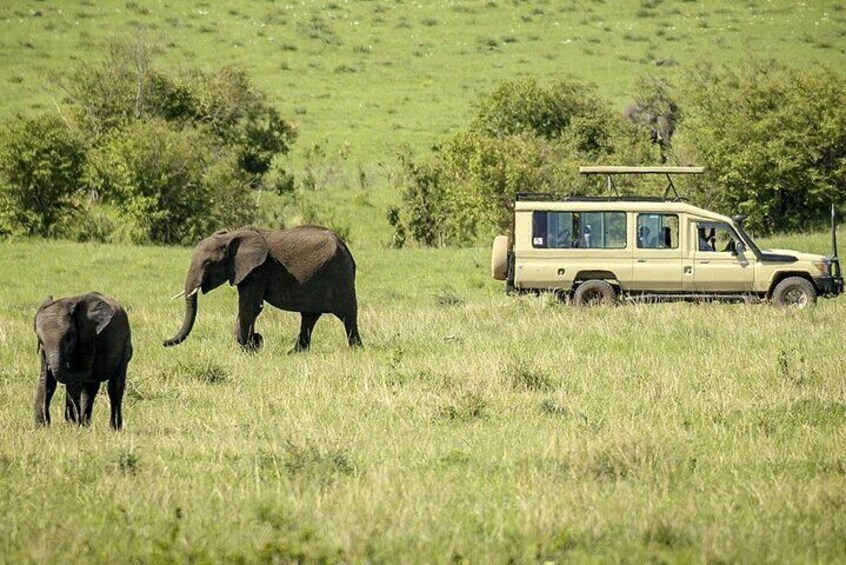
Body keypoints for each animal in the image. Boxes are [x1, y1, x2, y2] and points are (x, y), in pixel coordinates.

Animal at [33, 290, 133, 428]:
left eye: (69, 337)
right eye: (40, 340)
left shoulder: (86, 338)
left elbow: (74, 380)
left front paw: (72, 424)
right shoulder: (44, 351)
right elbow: (46, 380)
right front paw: (42, 426)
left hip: (125, 344)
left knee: (114, 387)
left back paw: (114, 428)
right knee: (90, 388)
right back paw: (86, 425)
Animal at [164, 226, 362, 352]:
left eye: (208, 263)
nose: (163, 342)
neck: (231, 235)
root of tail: (346, 248)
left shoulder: (258, 271)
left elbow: (249, 306)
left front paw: (248, 348)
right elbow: (249, 307)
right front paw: (250, 345)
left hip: (340, 276)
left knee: (347, 315)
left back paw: (357, 350)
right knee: (309, 317)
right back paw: (294, 353)